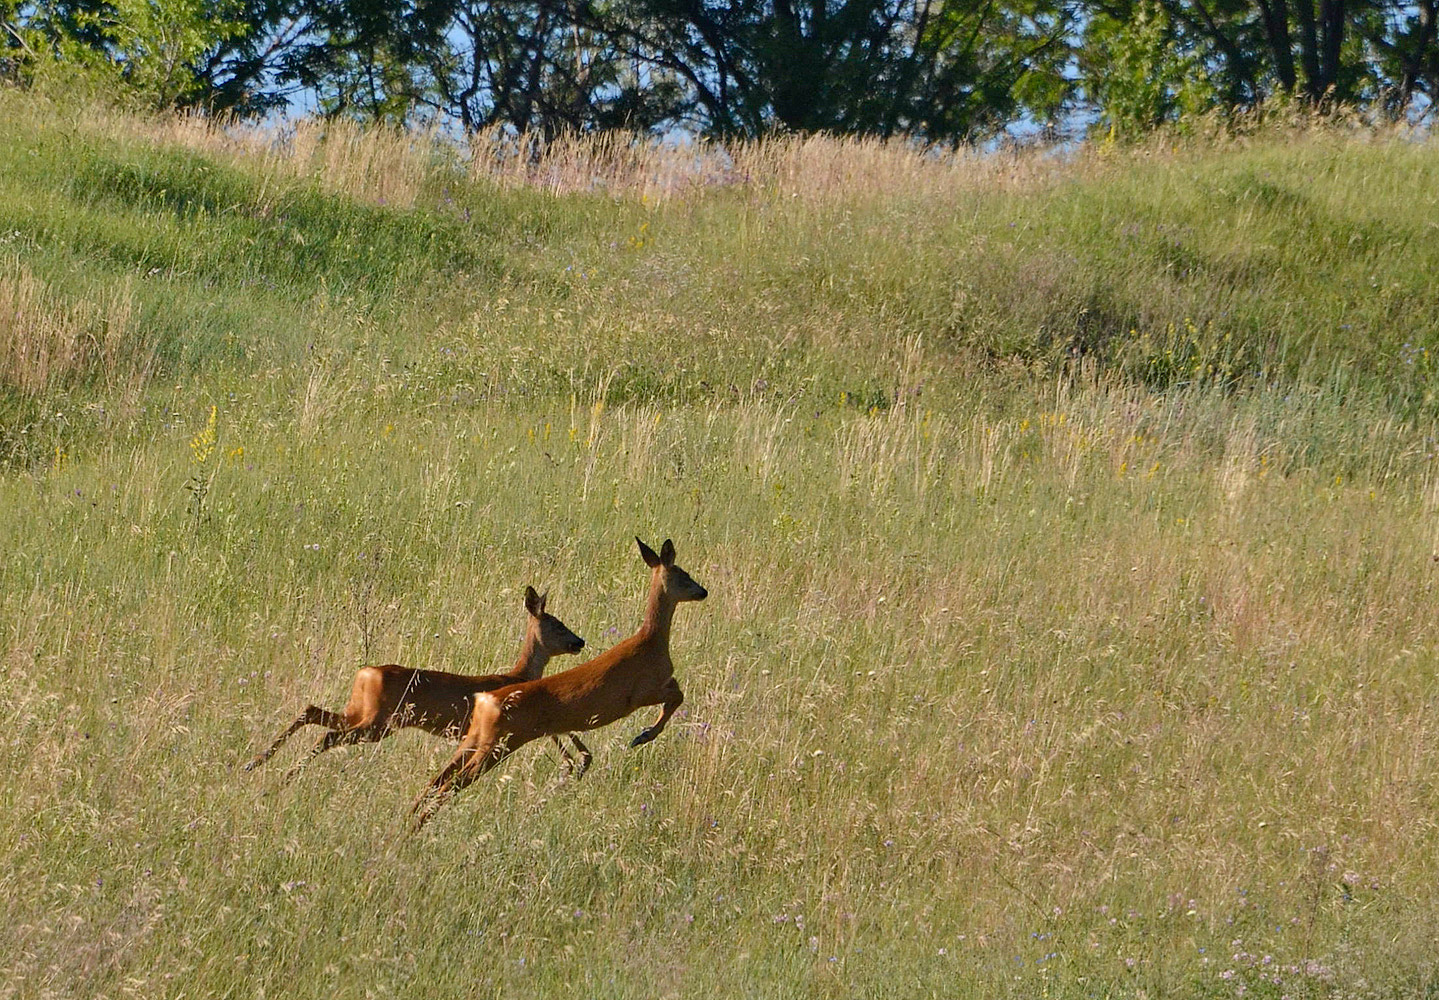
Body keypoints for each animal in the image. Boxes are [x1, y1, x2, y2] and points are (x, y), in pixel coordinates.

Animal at [244, 587, 587, 782]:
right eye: (558, 625)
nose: (580, 641)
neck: (517, 676)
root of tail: (366, 673)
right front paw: (575, 765)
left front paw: (574, 765)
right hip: (380, 723)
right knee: (328, 735)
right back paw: (281, 774)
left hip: (360, 711)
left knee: (312, 711)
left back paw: (259, 763)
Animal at [411, 541, 707, 828]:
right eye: (684, 574)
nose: (703, 591)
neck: (651, 640)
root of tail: (486, 700)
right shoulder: (641, 692)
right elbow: (677, 696)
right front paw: (643, 735)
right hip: (501, 742)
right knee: (449, 785)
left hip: (476, 738)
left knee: (435, 781)